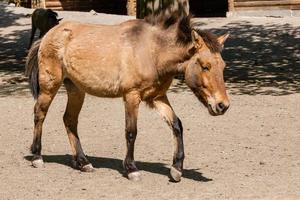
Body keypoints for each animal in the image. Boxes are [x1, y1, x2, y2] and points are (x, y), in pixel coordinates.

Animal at [25, 14, 230, 183]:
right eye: (205, 66)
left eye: (223, 66)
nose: (223, 106)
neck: (153, 52)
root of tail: (47, 35)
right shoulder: (131, 96)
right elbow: (131, 132)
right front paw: (131, 169)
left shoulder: (157, 97)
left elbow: (177, 125)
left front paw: (176, 169)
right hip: (49, 87)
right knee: (39, 114)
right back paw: (37, 157)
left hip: (76, 90)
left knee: (69, 119)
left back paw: (83, 162)